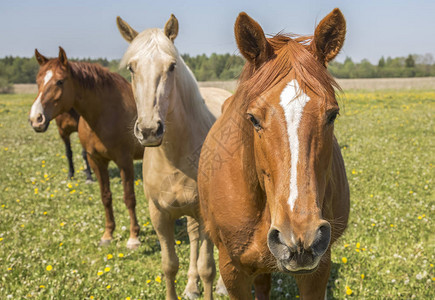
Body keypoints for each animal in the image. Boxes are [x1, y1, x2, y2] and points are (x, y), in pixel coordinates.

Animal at [29, 48, 145, 250]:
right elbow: (106, 196)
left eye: (60, 81)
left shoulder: (125, 161)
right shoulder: (96, 160)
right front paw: (108, 235)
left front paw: (133, 237)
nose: (36, 119)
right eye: (38, 81)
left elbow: (129, 198)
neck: (107, 112)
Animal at [116, 14, 232, 300]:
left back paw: (223, 285)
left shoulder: (205, 213)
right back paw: (190, 287)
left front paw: (212, 284)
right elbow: (169, 265)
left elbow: (207, 268)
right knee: (192, 237)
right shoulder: (160, 215)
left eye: (171, 66)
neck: (174, 156)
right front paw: (187, 285)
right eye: (131, 68)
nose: (149, 130)